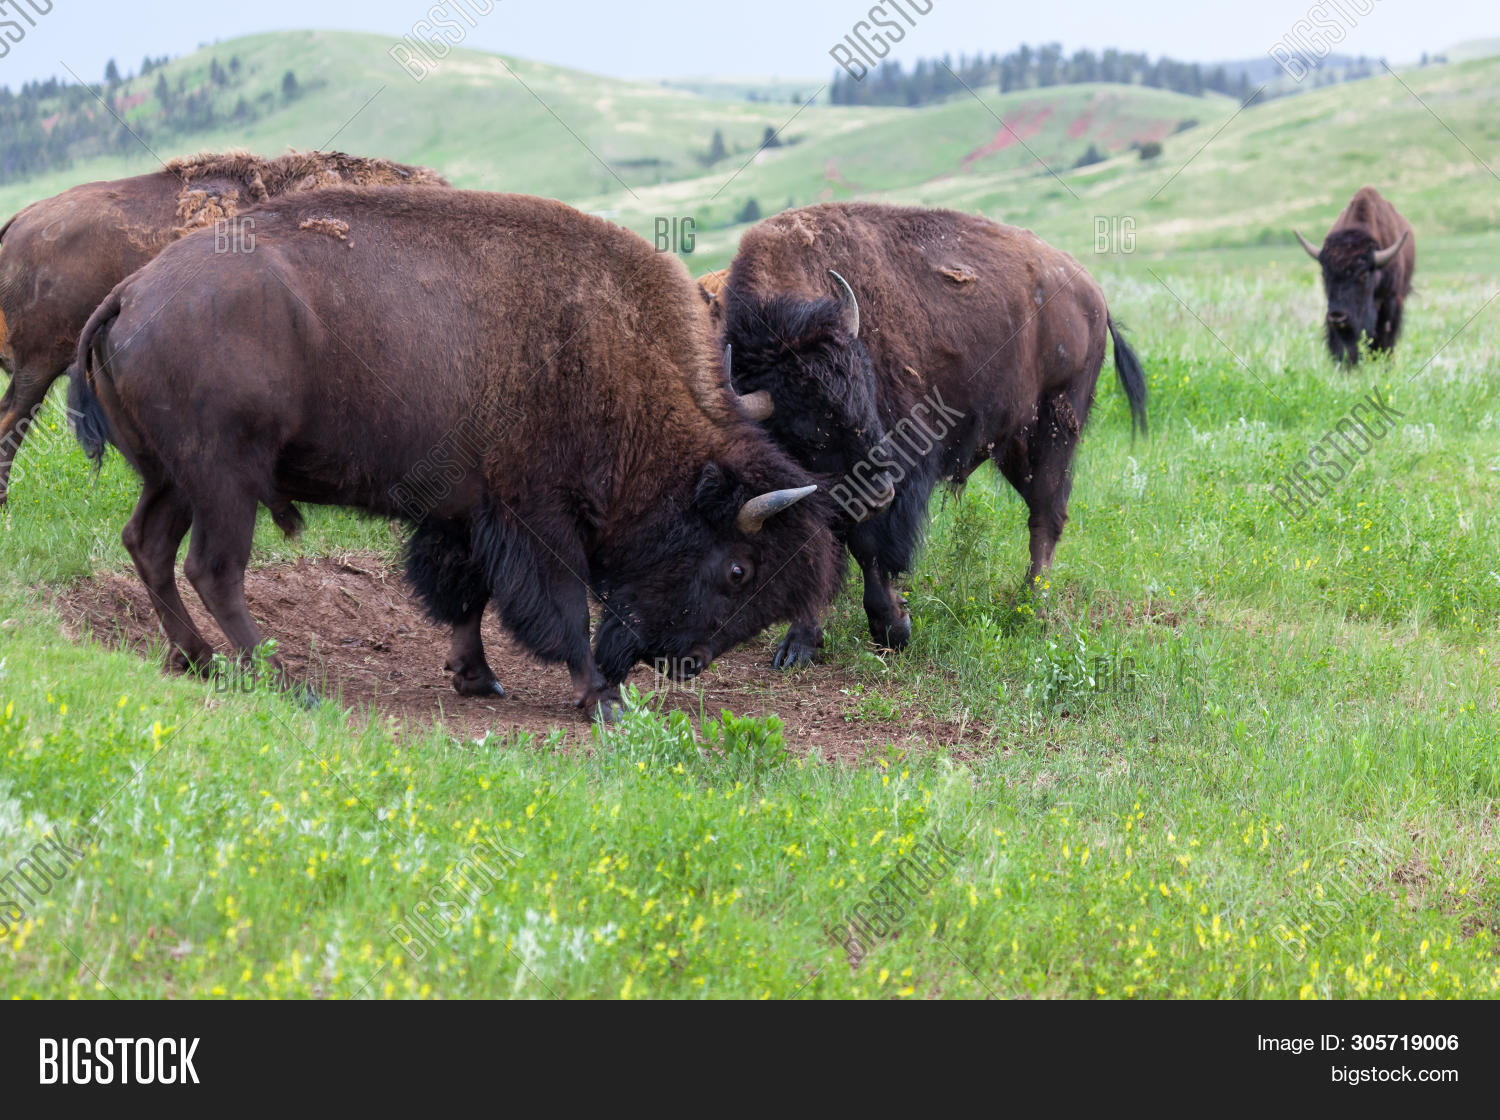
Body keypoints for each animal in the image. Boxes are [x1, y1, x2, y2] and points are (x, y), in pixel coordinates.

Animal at [71, 187, 842, 720]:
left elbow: (464, 595)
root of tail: (130, 293)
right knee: (213, 568)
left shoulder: (463, 515)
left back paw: (198, 660)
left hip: (172, 480)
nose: (686, 664)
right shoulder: (537, 519)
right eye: (739, 569)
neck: (612, 357)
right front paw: (600, 698)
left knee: (147, 545)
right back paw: (282, 681)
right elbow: (561, 608)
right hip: (224, 481)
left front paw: (479, 678)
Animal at [712, 201, 1147, 668]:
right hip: (1014, 443)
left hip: (1057, 425)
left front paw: (892, 628)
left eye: (865, 394)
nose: (880, 491)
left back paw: (1029, 606)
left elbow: (868, 546)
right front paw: (799, 644)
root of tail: (1091, 292)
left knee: (1046, 515)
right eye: (807, 433)